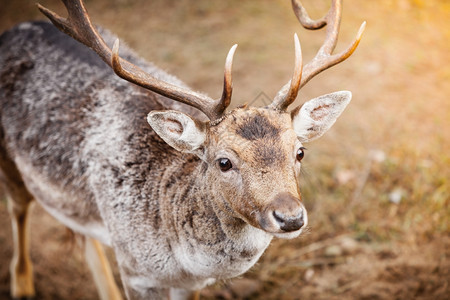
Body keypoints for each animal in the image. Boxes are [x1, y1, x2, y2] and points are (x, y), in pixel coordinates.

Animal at [0, 0, 366, 298]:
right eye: (223, 162)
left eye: (300, 152)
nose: (290, 217)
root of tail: (13, 30)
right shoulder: (135, 272)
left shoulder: (187, 284)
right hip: (10, 165)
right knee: (19, 210)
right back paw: (22, 286)